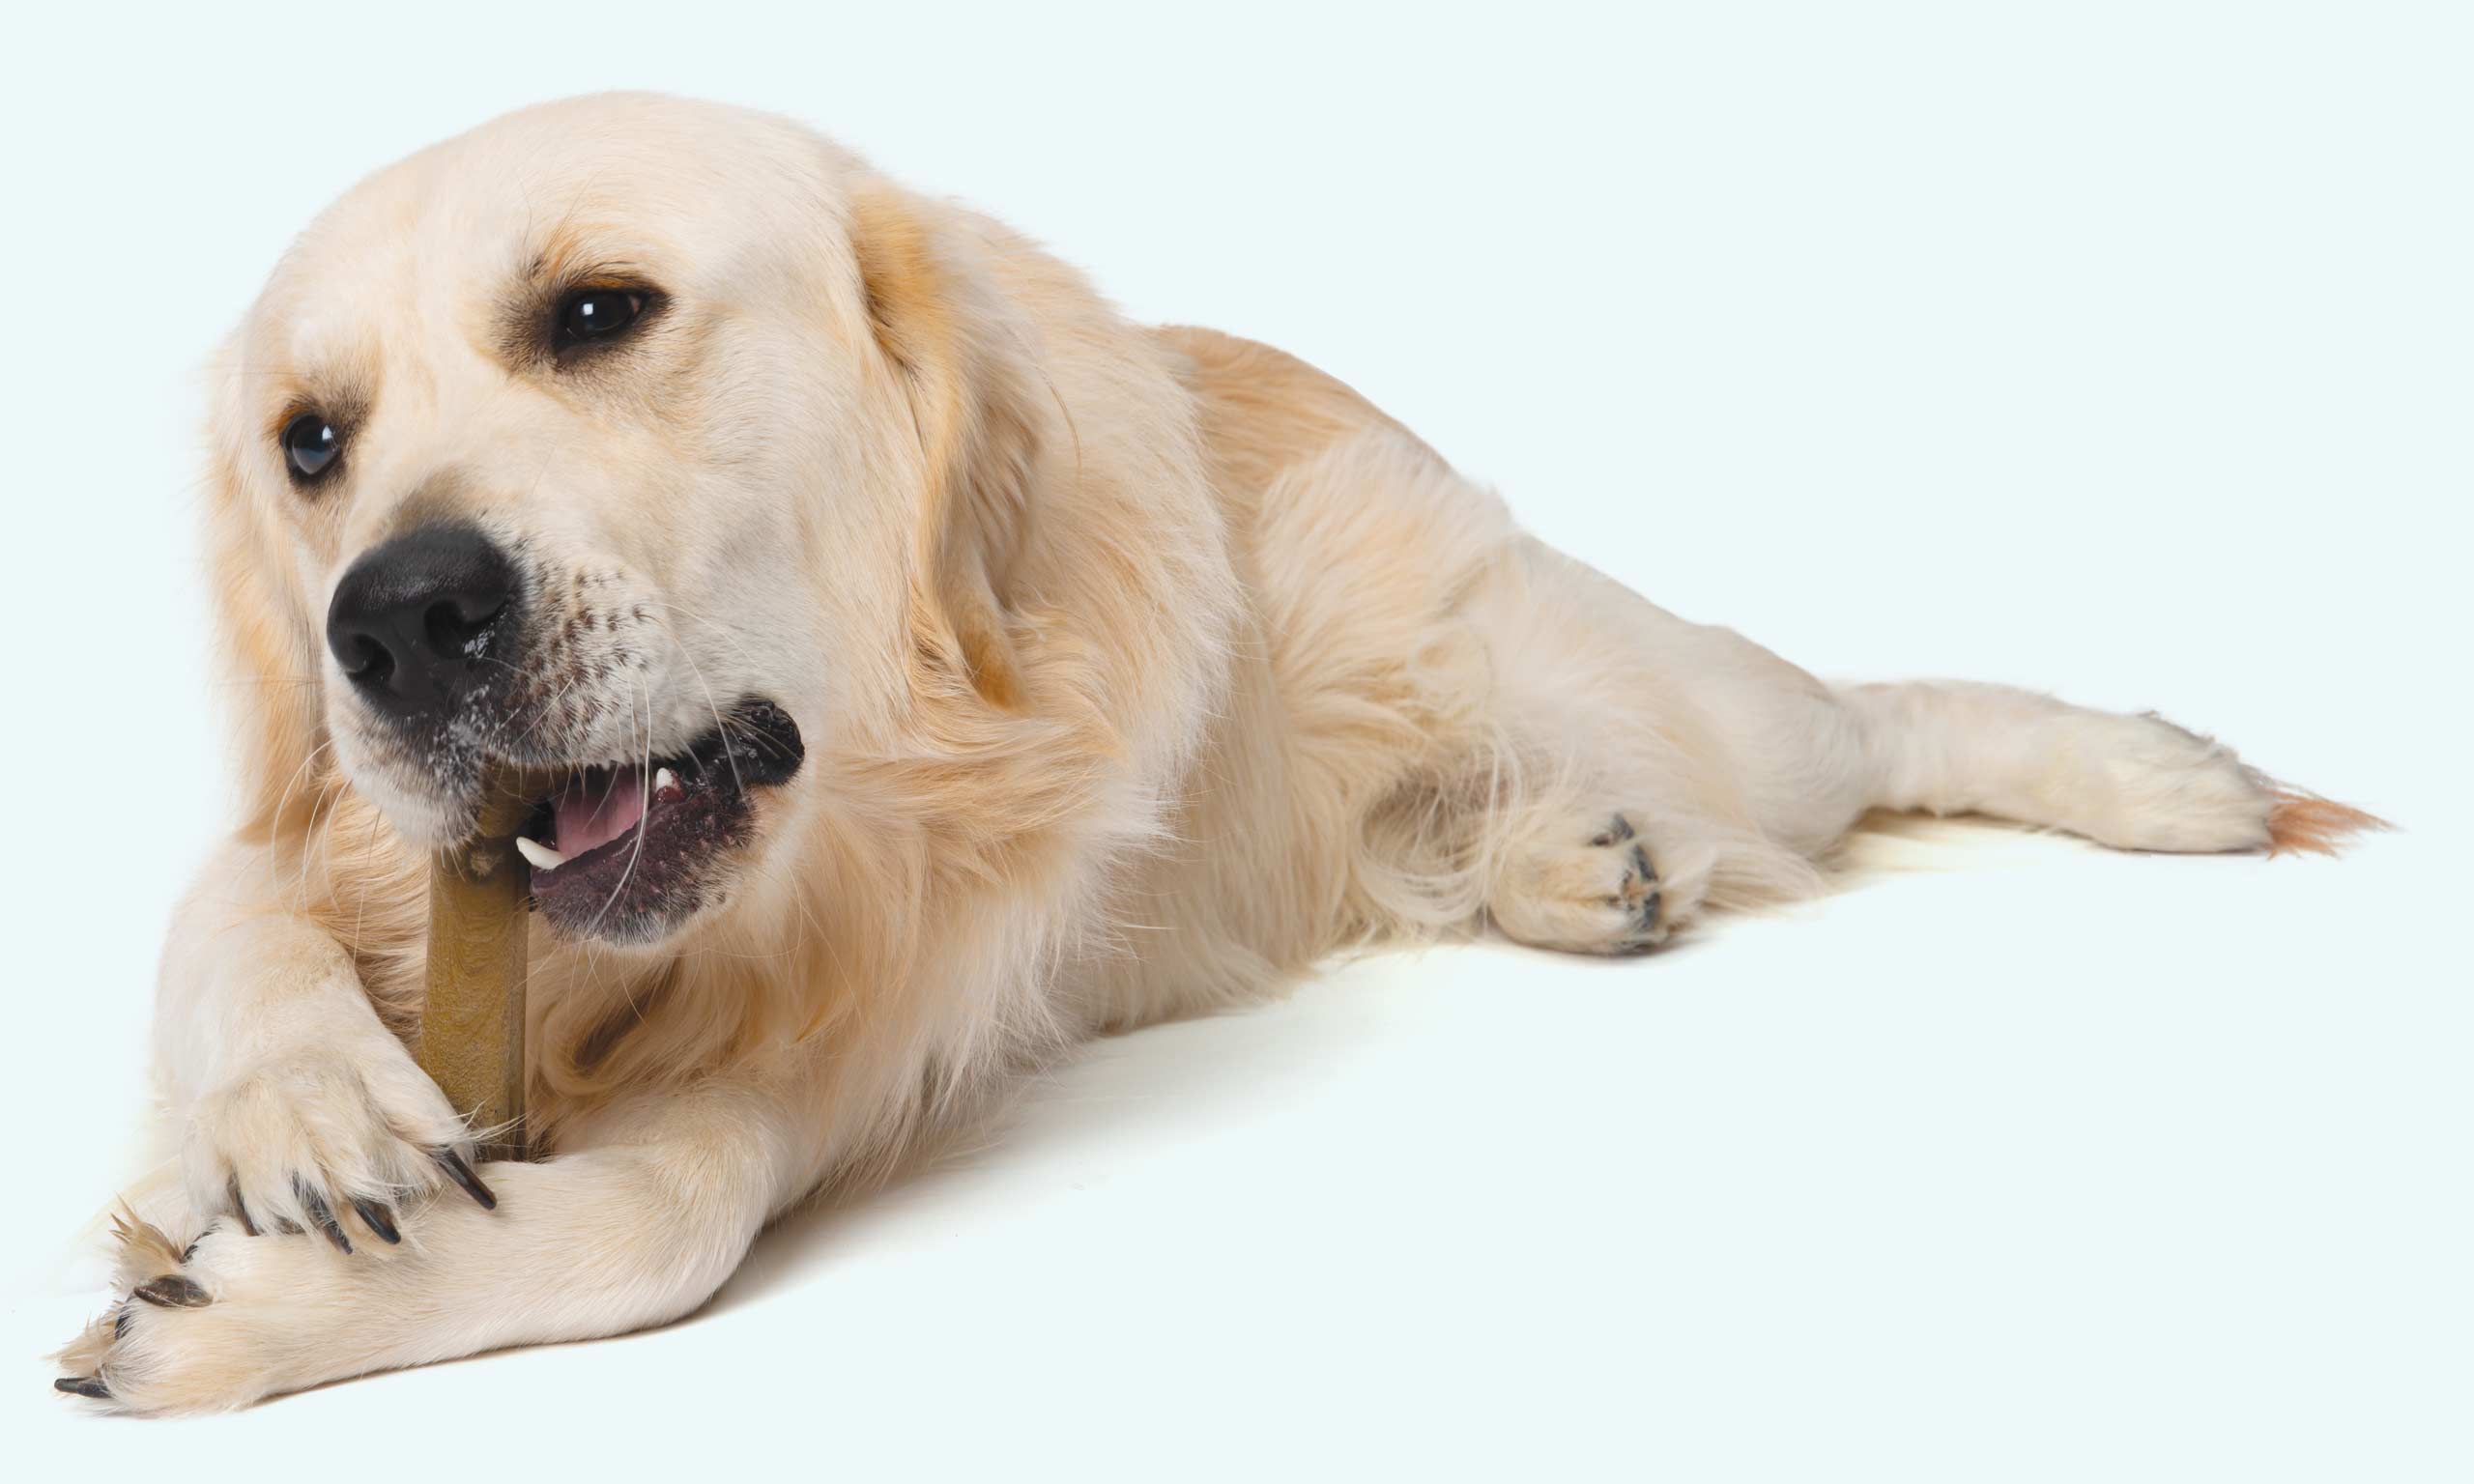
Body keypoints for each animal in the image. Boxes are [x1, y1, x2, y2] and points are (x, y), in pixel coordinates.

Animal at [53, 93, 2374, 1414]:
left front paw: (252, 1307)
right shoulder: (308, 834)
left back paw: (2171, 776)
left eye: (600, 313)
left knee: (1868, 717)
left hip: (1652, 684)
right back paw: (1584, 866)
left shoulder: (890, 1017)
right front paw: (306, 1117)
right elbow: (228, 916)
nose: (395, 624)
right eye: (311, 445)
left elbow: (672, 1216)